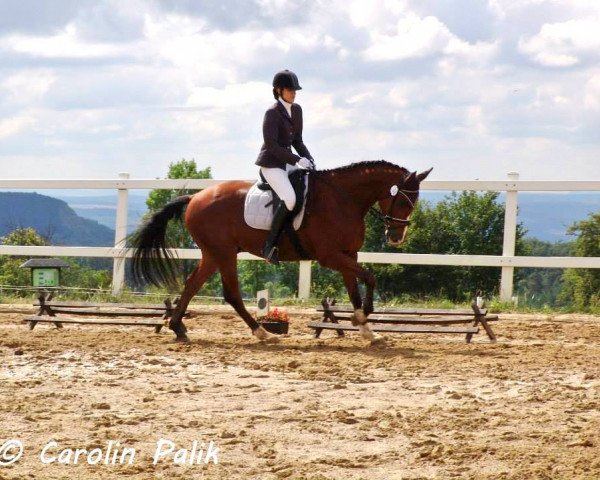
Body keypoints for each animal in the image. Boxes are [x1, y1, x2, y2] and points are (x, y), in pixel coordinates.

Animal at [131, 161, 432, 342]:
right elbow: (370, 277)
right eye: (402, 201)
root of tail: (195, 197)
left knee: (193, 285)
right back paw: (263, 332)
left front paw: (367, 330)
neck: (342, 200)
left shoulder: (348, 255)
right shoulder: (330, 256)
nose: (396, 238)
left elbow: (355, 289)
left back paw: (179, 328)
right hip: (223, 253)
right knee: (230, 294)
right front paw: (364, 316)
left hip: (213, 253)